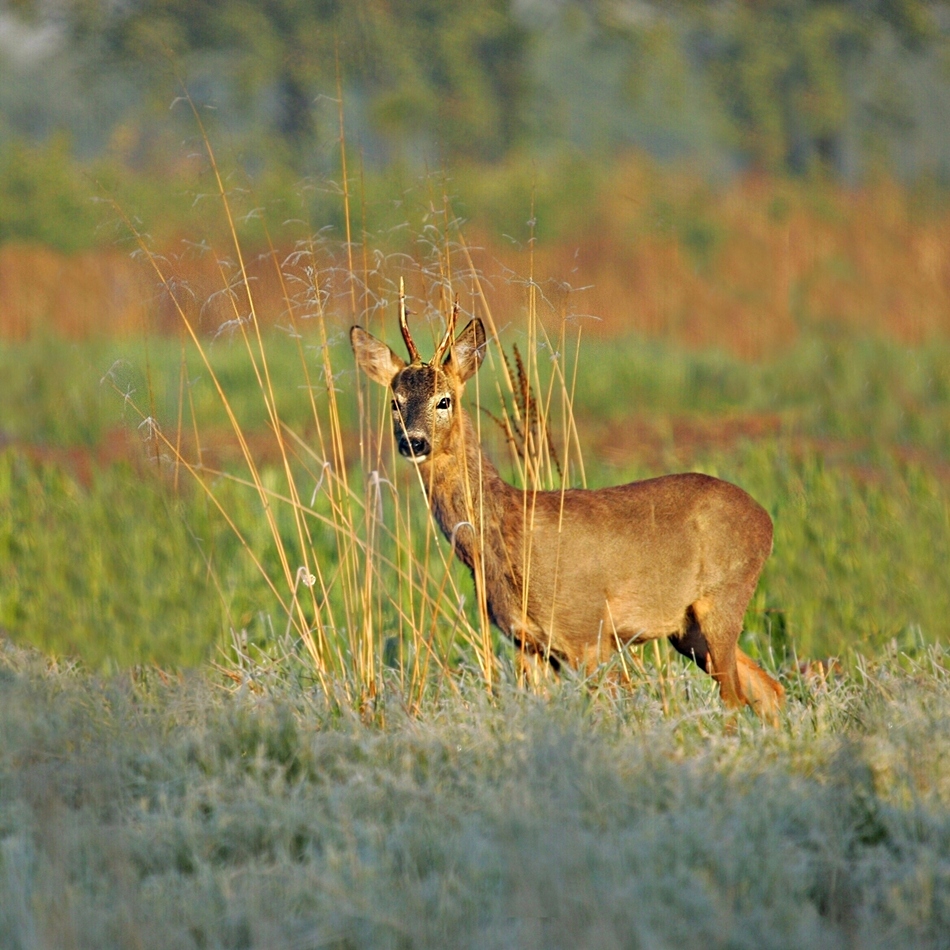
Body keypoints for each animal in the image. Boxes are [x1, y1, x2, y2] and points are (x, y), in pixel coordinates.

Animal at [354, 302, 784, 724]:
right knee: (768, 690)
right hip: (686, 627)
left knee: (734, 699)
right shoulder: (528, 643)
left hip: (724, 597)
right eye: (394, 402)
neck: (507, 533)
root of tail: (765, 519)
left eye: (444, 400)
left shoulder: (589, 631)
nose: (413, 441)